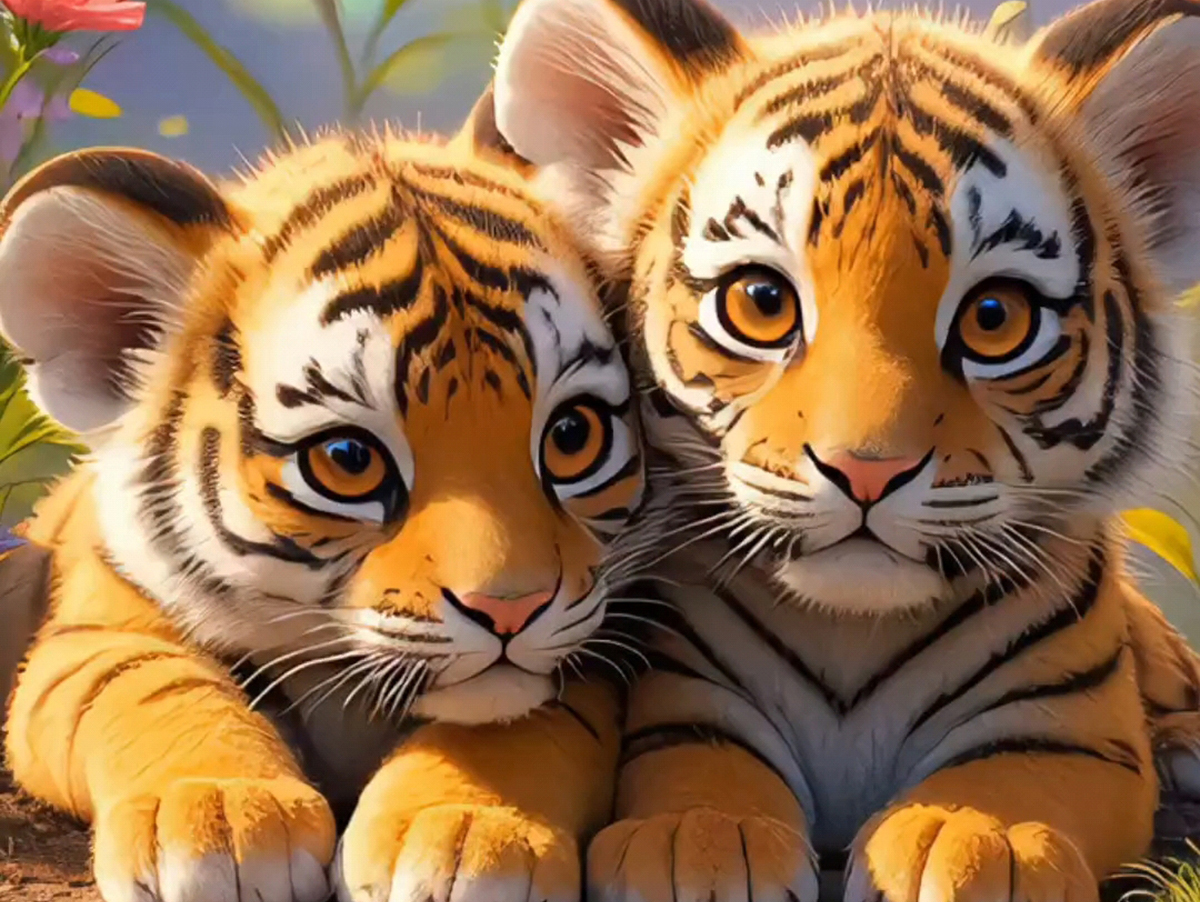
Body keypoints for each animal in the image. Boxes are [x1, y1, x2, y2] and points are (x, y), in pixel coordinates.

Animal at [0, 118, 647, 902]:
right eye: (348, 459)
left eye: (572, 435)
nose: (510, 610)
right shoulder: (96, 625)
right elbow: (150, 684)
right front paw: (222, 818)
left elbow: (528, 720)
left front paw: (466, 836)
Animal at [478, 0, 1200, 900]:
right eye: (760, 302)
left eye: (995, 318)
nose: (867, 470)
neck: (856, 634)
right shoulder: (688, 696)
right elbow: (702, 768)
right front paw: (697, 843)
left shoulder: (1078, 729)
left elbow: (1012, 775)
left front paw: (973, 842)